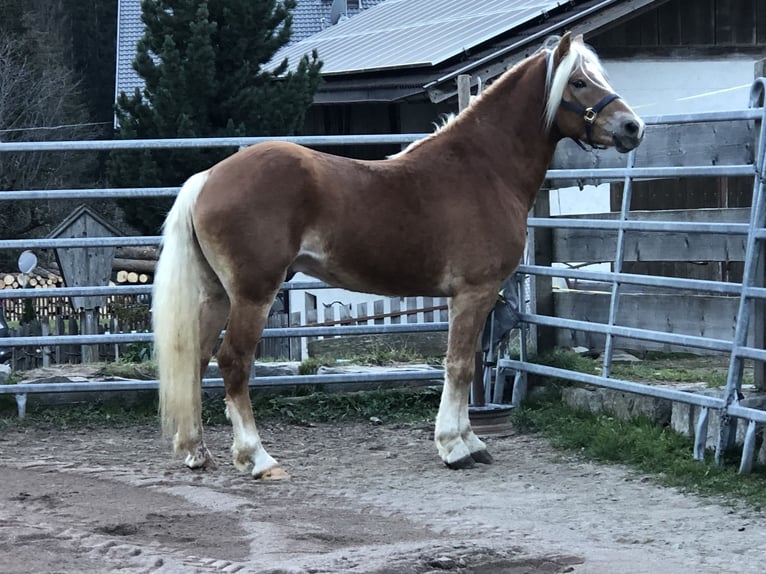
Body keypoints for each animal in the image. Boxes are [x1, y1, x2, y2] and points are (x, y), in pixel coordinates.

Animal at [153, 32, 644, 482]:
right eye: (579, 81)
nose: (632, 127)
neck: (483, 169)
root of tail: (208, 177)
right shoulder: (475, 292)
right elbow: (459, 366)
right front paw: (455, 448)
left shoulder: (471, 297)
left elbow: (464, 367)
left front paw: (470, 441)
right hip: (254, 294)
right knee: (233, 362)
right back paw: (258, 459)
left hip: (217, 295)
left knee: (195, 358)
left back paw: (196, 452)